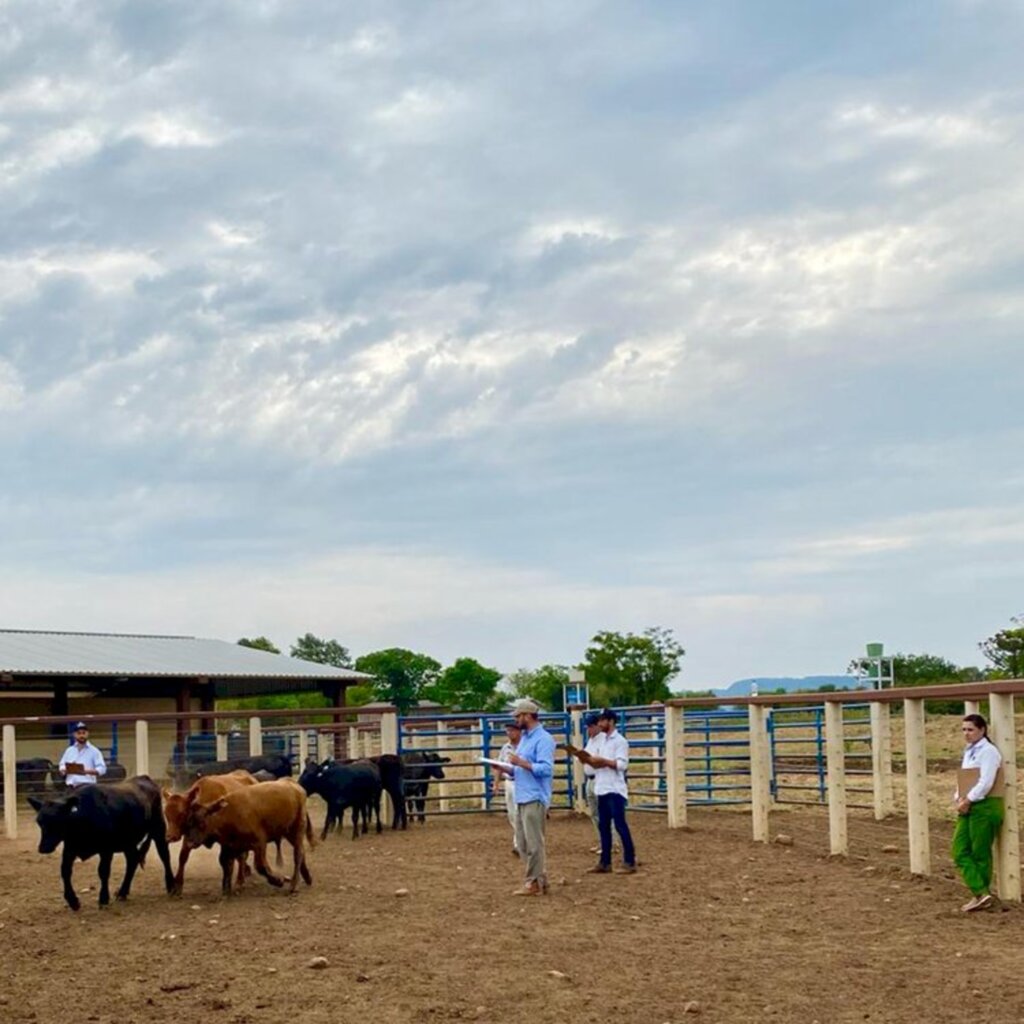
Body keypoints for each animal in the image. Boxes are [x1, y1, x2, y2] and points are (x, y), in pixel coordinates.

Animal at [28, 774, 176, 913]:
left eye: (58, 822)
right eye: (39, 822)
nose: (43, 848)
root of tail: (144, 778)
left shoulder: (106, 849)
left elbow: (103, 871)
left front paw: (103, 898)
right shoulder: (70, 848)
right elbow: (65, 871)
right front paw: (73, 901)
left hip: (158, 829)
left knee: (164, 855)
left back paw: (171, 886)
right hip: (128, 842)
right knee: (132, 861)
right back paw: (123, 892)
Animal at [183, 778, 311, 892]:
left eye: (201, 822)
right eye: (188, 823)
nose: (189, 842)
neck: (228, 814)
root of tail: (293, 784)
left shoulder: (259, 843)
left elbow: (260, 866)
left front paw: (278, 880)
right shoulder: (230, 846)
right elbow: (225, 862)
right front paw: (227, 887)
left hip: (298, 828)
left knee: (298, 853)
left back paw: (294, 884)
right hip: (288, 832)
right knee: (302, 851)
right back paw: (307, 877)